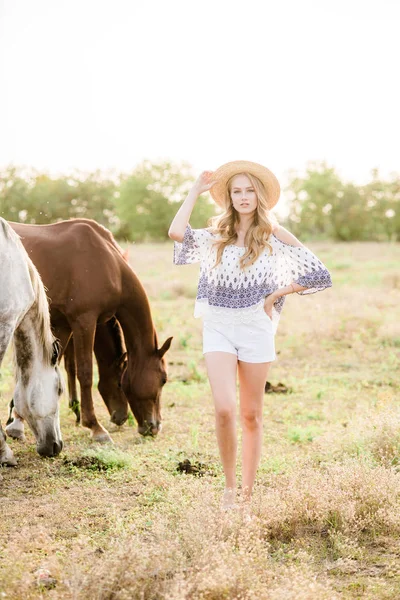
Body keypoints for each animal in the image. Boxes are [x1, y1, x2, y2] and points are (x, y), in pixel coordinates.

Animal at [9, 218, 172, 442]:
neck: (109, 262)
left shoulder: (63, 325)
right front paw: (95, 427)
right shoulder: (84, 321)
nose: (154, 427)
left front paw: (18, 421)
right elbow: (85, 373)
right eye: (163, 379)